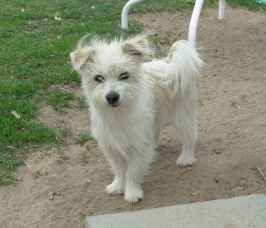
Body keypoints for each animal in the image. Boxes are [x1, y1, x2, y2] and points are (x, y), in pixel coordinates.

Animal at [69, 34, 203, 204]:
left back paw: (186, 158)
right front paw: (118, 186)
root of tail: (168, 62)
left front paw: (132, 192)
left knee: (190, 137)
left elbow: (133, 171)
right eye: (98, 78)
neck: (118, 114)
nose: (112, 97)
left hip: (183, 116)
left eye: (124, 75)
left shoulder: (138, 146)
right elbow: (119, 169)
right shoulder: (111, 145)